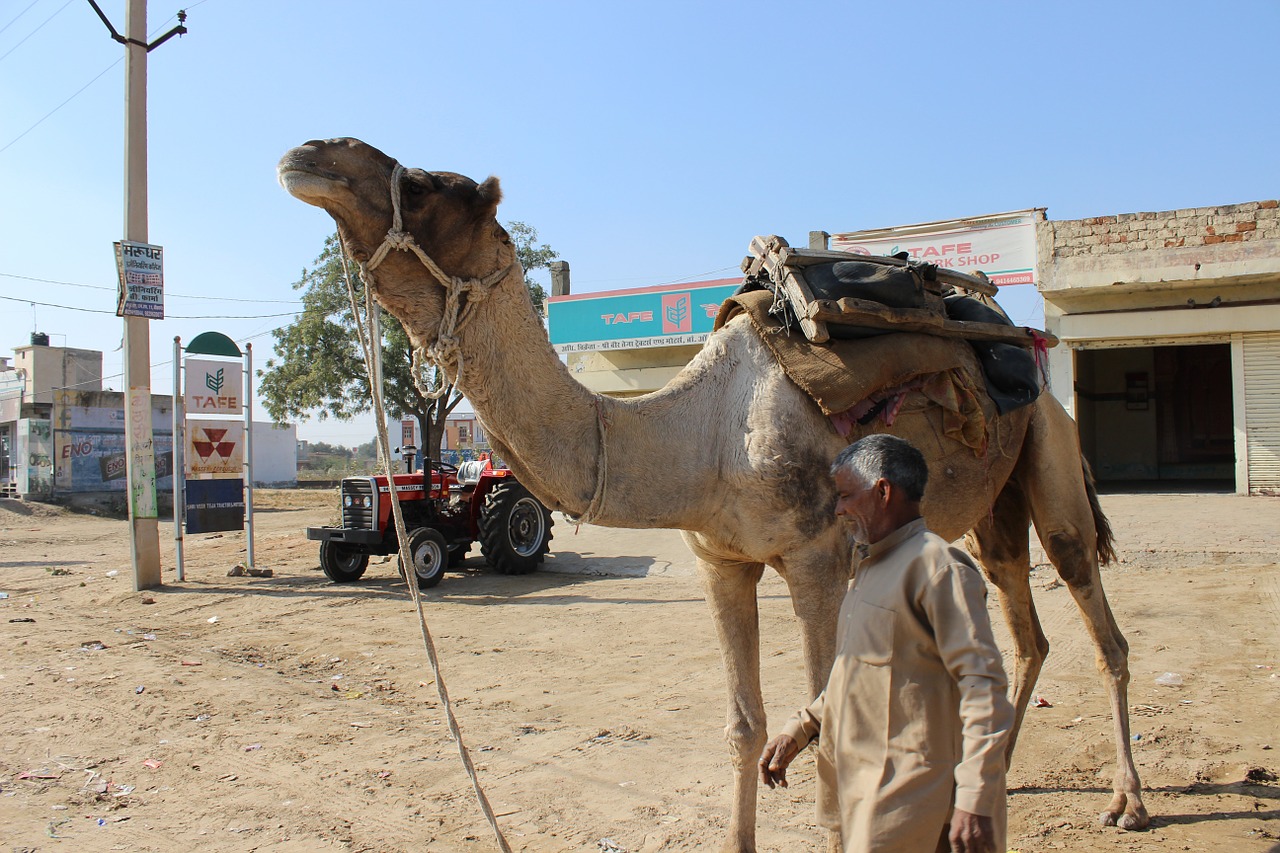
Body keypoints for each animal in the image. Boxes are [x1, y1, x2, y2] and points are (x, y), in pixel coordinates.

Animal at [277, 136, 1152, 845]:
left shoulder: (818, 559)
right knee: (1023, 624)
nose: (309, 154)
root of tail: (1023, 344)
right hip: (990, 509)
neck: (703, 436)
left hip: (1050, 448)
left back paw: (1128, 802)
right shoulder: (720, 561)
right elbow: (742, 725)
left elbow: (826, 730)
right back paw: (999, 776)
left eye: (427, 184)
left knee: (1093, 610)